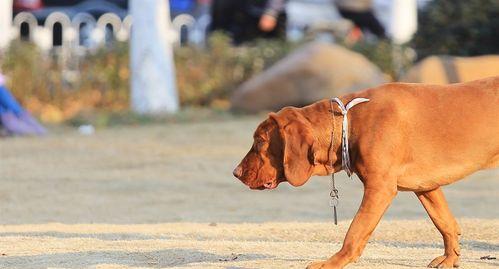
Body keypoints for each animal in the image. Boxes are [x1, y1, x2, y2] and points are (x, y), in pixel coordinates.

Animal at [234, 75, 499, 266]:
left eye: (259, 142)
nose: (235, 172)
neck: (348, 121)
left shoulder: (379, 189)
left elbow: (355, 231)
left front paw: (333, 262)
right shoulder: (425, 186)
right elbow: (444, 222)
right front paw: (451, 258)